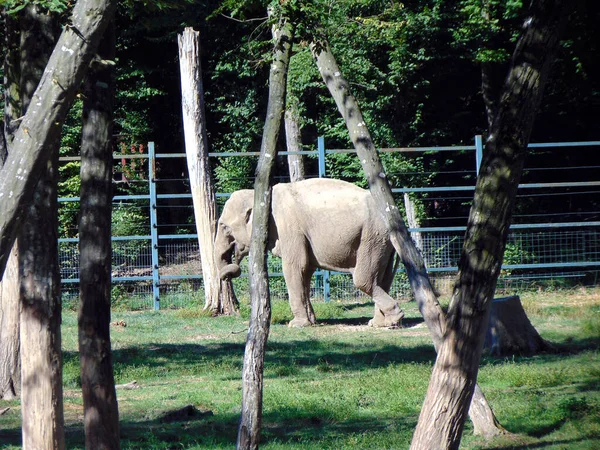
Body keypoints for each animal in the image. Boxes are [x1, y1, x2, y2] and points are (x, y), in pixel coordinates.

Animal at [213, 178, 406, 328]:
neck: (259, 195)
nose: (231, 268)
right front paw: (311, 322)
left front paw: (296, 325)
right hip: (382, 242)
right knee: (382, 279)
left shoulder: (289, 228)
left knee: (363, 280)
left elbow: (294, 268)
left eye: (224, 226)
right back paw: (381, 323)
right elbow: (305, 272)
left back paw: (394, 318)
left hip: (372, 236)